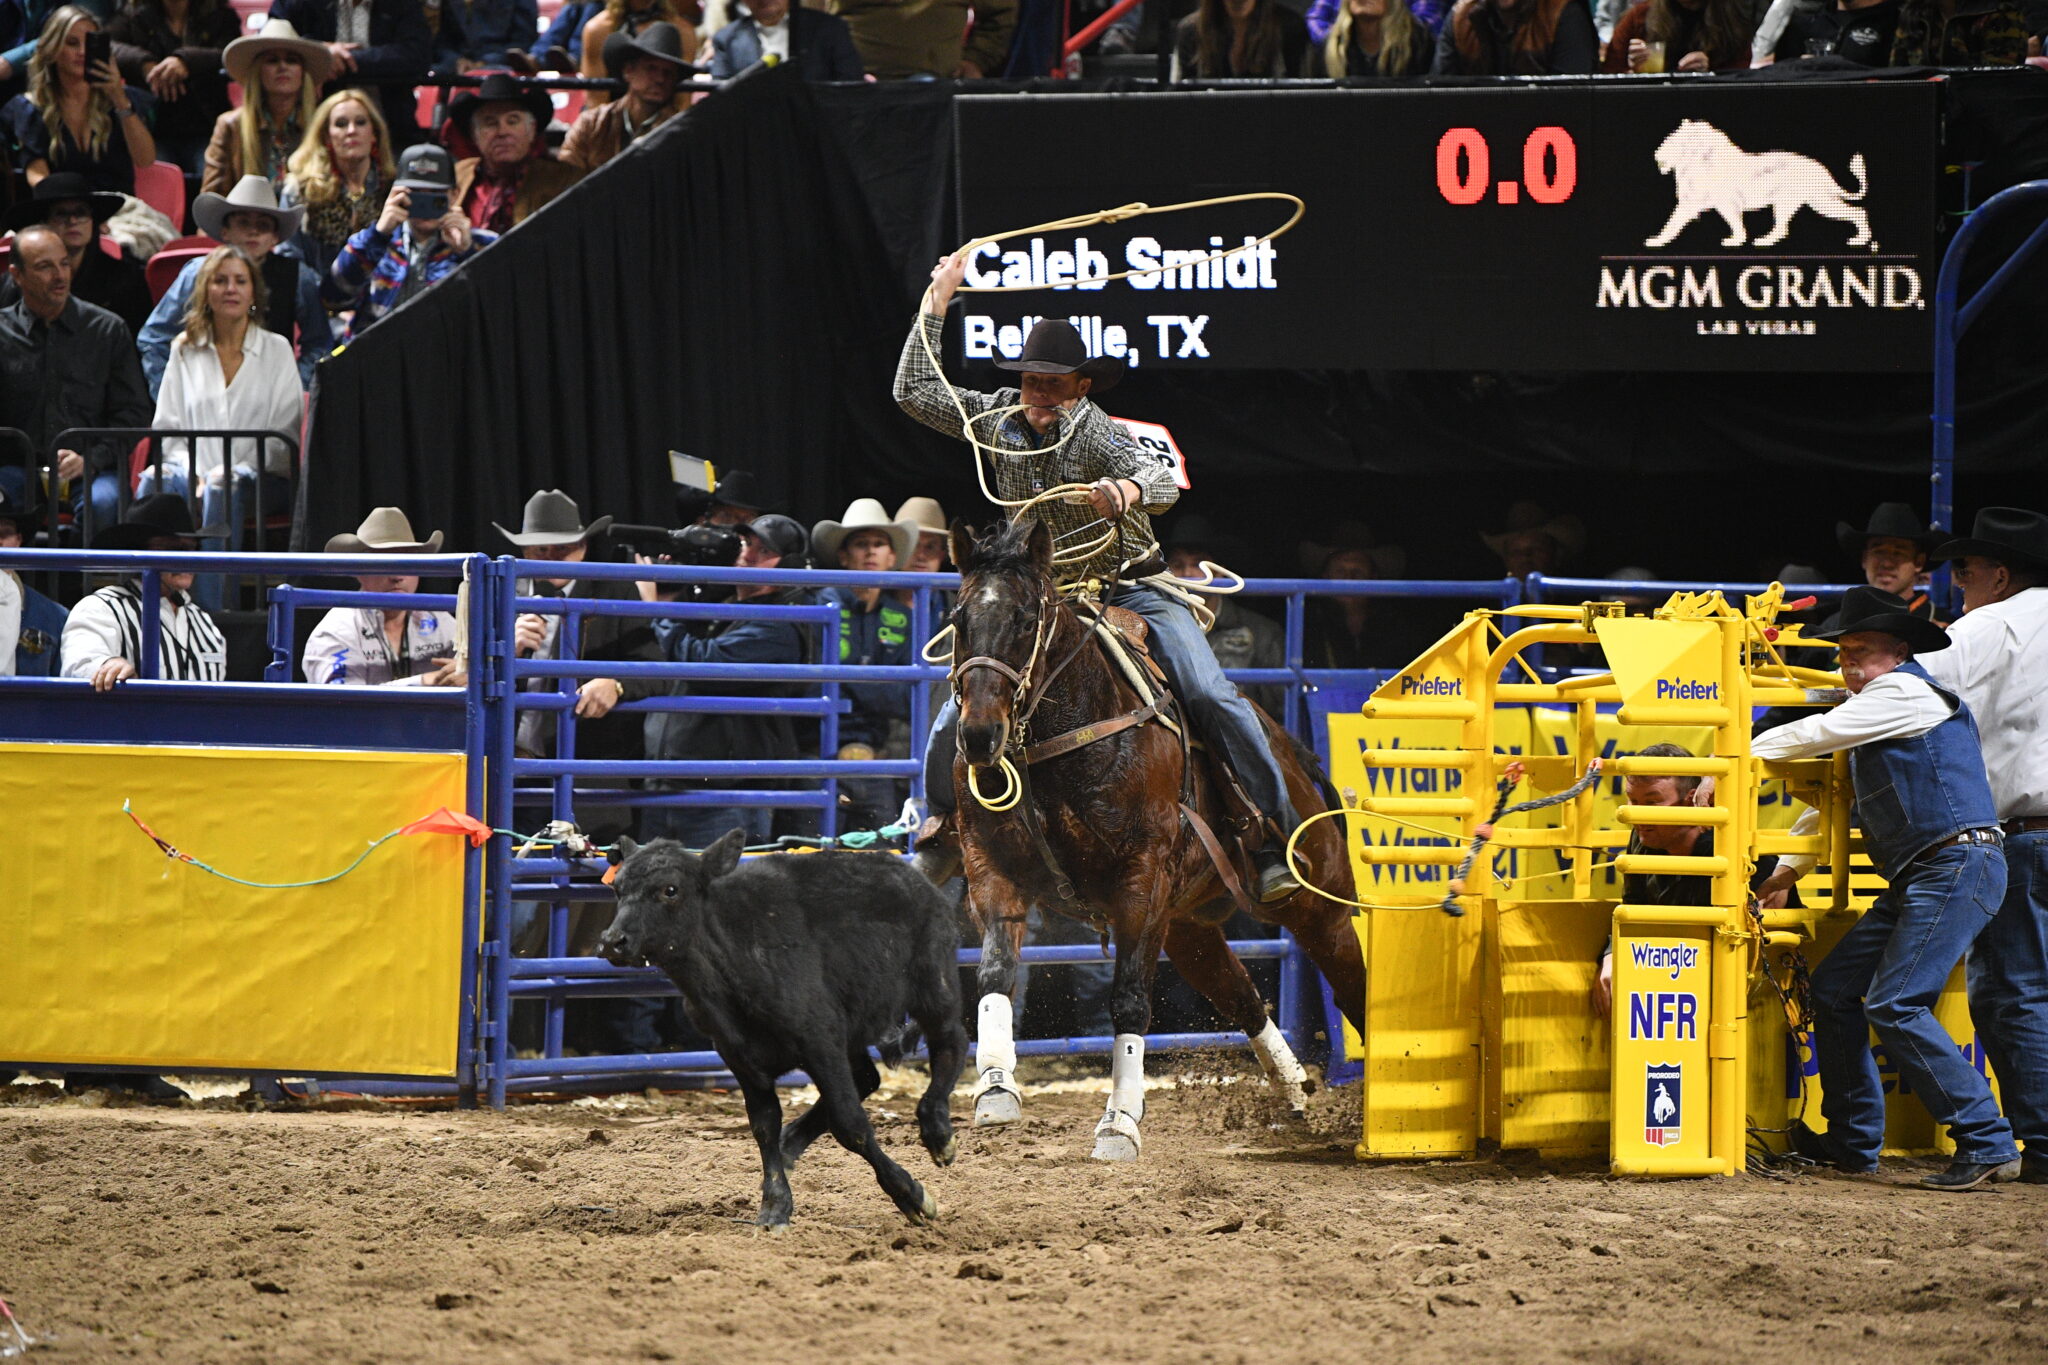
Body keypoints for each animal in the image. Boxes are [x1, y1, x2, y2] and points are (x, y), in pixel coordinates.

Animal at [598, 826, 970, 1236]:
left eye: (670, 890)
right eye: (617, 889)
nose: (613, 941)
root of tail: (913, 874)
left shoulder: (820, 1043)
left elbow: (850, 1124)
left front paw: (912, 1195)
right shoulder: (741, 1058)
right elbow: (764, 1126)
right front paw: (774, 1206)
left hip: (933, 985)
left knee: (952, 1043)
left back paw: (938, 1131)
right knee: (866, 1077)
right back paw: (792, 1142)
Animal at [950, 517, 1368, 1162]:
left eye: (1024, 619)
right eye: (958, 618)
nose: (978, 735)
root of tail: (1296, 756)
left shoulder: (1140, 884)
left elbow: (1130, 1001)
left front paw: (1119, 1122)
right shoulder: (992, 869)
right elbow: (995, 974)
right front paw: (995, 1089)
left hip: (1319, 907)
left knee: (1356, 990)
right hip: (1189, 929)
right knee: (1243, 997)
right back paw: (1295, 1092)